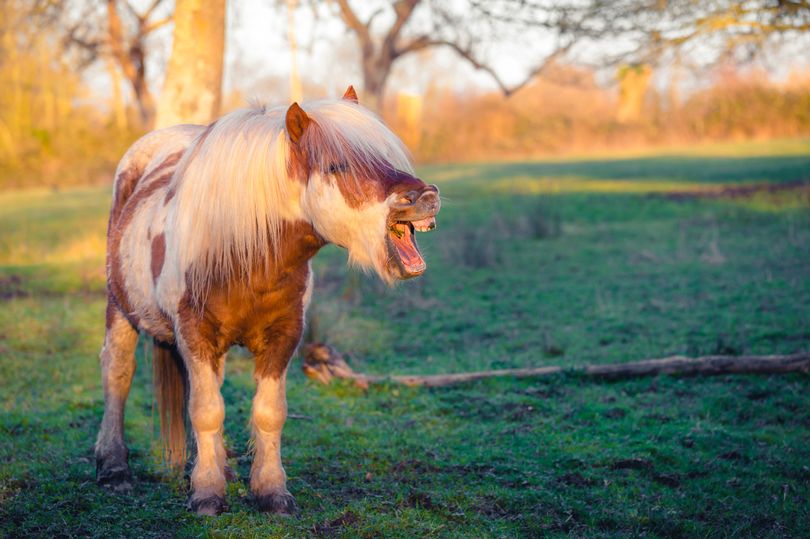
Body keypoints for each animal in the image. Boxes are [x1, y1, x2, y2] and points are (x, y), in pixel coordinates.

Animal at [94, 86, 440, 516]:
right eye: (336, 166)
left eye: (387, 157)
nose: (426, 197)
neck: (245, 255)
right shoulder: (194, 333)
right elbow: (206, 411)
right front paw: (207, 495)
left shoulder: (284, 335)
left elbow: (268, 413)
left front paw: (270, 492)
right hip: (120, 308)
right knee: (117, 374)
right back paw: (114, 469)